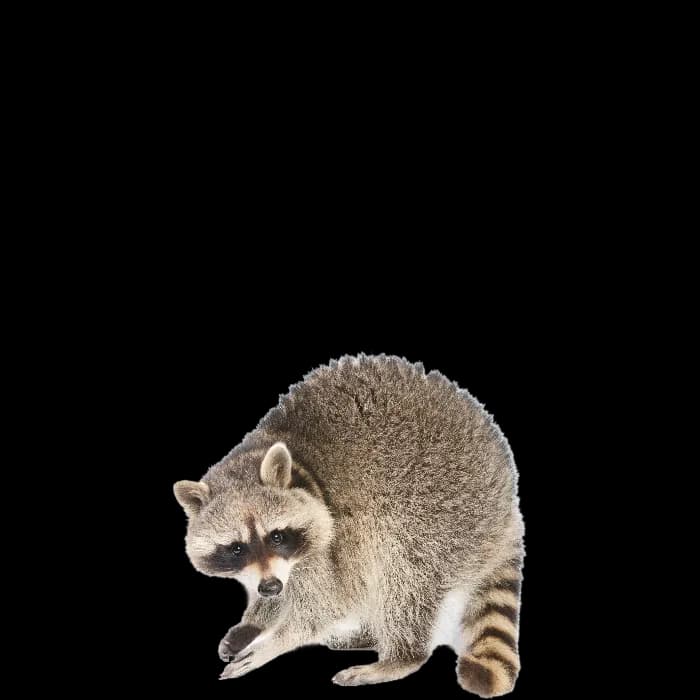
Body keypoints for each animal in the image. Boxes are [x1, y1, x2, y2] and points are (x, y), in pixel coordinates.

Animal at [174, 355, 524, 697]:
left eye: (276, 536)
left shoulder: (333, 541)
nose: (270, 588)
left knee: (404, 573)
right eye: (236, 548)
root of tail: (508, 501)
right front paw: (257, 618)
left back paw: (400, 656)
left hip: (444, 507)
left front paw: (276, 640)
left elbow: (324, 606)